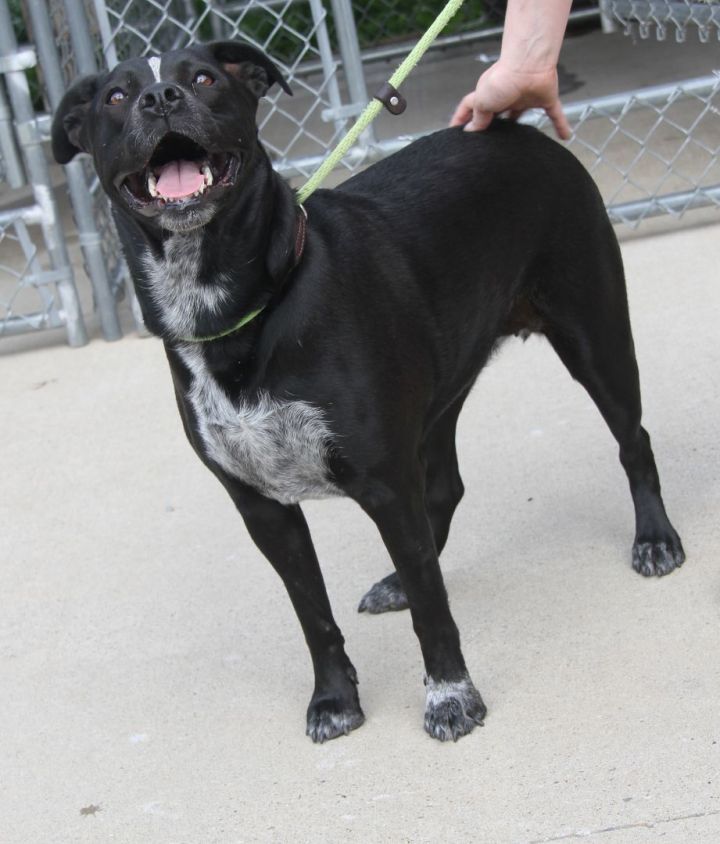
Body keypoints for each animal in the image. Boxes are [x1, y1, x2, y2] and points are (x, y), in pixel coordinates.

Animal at [52, 41, 688, 740]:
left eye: (204, 78)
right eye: (116, 95)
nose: (160, 98)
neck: (242, 310)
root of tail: (514, 129)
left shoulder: (384, 483)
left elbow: (434, 613)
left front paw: (451, 696)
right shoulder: (264, 509)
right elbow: (314, 617)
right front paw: (334, 699)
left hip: (593, 337)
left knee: (634, 439)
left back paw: (655, 538)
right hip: (443, 385)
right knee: (445, 489)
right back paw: (399, 581)